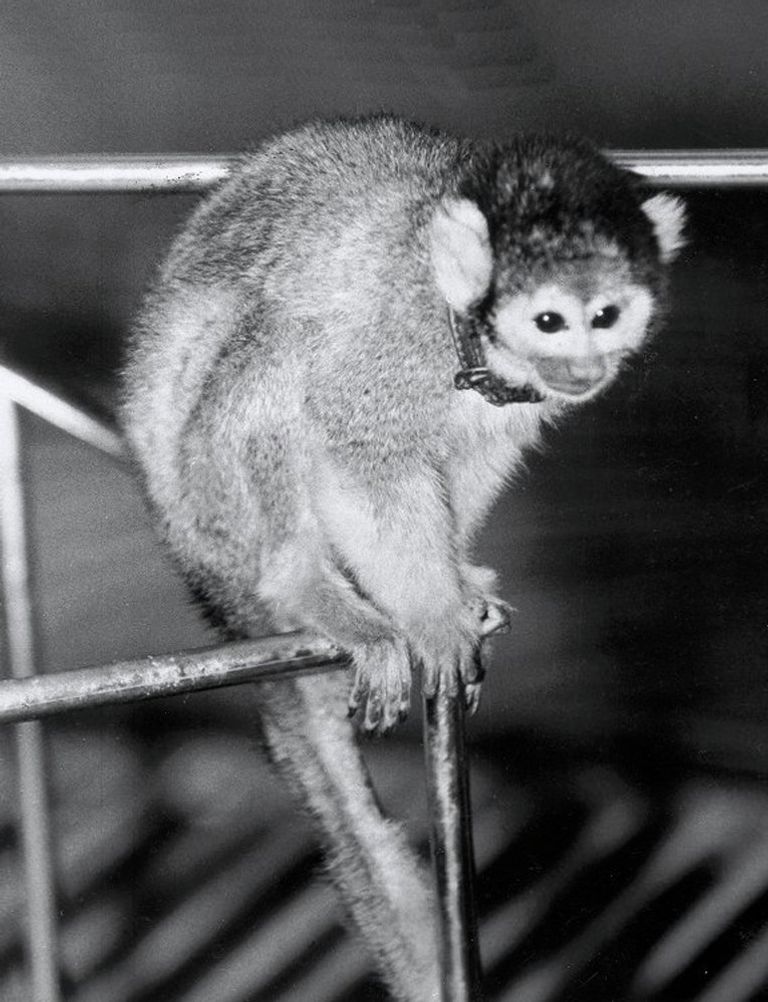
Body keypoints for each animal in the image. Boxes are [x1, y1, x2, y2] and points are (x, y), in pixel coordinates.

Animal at [120, 114, 685, 1001]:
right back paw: (304, 585)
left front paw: (456, 580)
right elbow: (361, 457)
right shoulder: (395, 339)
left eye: (607, 314)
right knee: (278, 345)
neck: (467, 330)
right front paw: (431, 612)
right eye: (551, 322)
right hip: (209, 507)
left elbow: (473, 455)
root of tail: (202, 572)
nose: (585, 368)